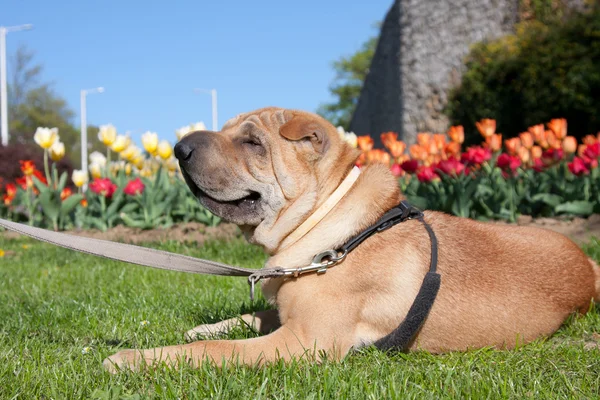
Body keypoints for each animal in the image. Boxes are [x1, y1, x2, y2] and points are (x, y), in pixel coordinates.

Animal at [103, 108, 600, 374]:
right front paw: (206, 325)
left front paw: (132, 359)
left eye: (252, 143)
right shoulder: (289, 316)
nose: (179, 147)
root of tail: (586, 263)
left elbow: (214, 351)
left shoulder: (305, 340)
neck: (326, 225)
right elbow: (249, 317)